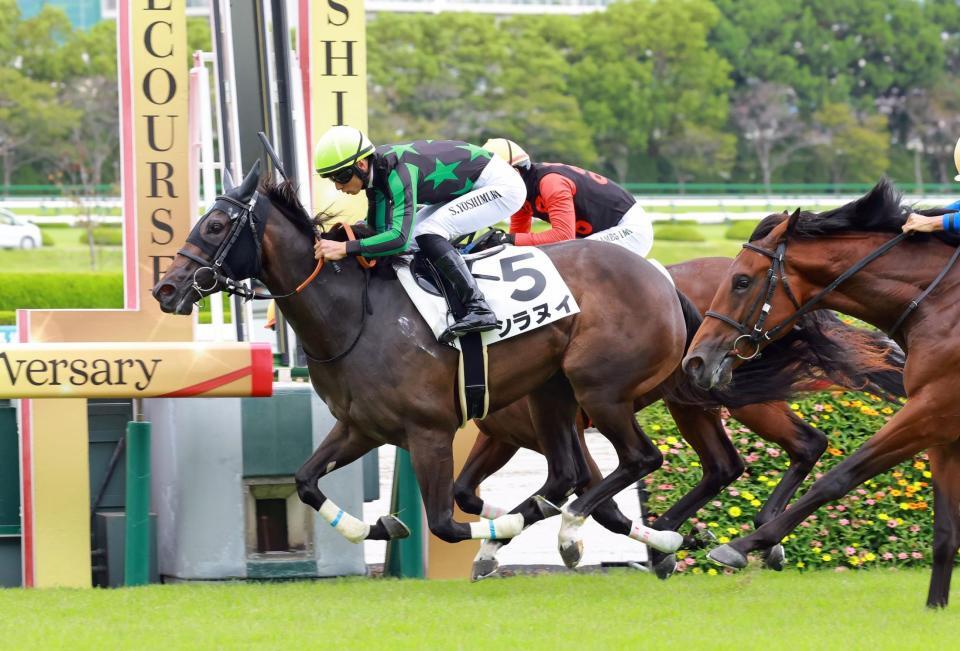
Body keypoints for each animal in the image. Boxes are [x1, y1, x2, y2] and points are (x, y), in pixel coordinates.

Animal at [152, 163, 691, 560]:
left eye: (215, 225)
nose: (166, 289)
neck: (354, 315)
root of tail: (660, 278)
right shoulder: (361, 427)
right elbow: (305, 482)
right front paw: (379, 526)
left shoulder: (429, 432)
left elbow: (446, 524)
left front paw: (492, 535)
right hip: (550, 392)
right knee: (563, 476)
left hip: (599, 389)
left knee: (638, 459)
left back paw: (586, 532)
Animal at [454, 256, 904, 579]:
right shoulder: (501, 437)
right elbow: (464, 491)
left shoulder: (572, 430)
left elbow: (600, 505)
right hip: (692, 400)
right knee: (728, 464)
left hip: (735, 393)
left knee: (804, 444)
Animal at [683, 179, 960, 608]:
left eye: (741, 280)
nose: (695, 360)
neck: (941, 301)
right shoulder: (942, 428)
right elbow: (946, 532)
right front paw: (935, 607)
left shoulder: (932, 407)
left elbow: (838, 477)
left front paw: (744, 545)